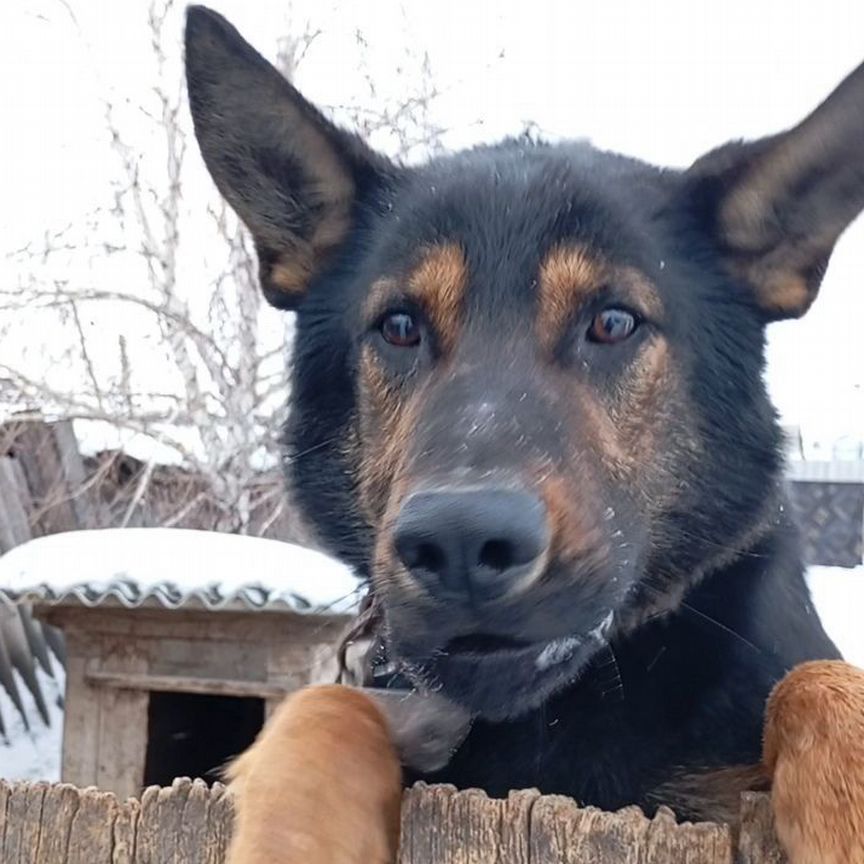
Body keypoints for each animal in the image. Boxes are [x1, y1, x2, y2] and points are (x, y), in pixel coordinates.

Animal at [184, 8, 864, 864]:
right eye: (399, 327)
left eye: (613, 322)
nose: (460, 542)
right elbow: (322, 706)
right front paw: (295, 836)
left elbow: (819, 678)